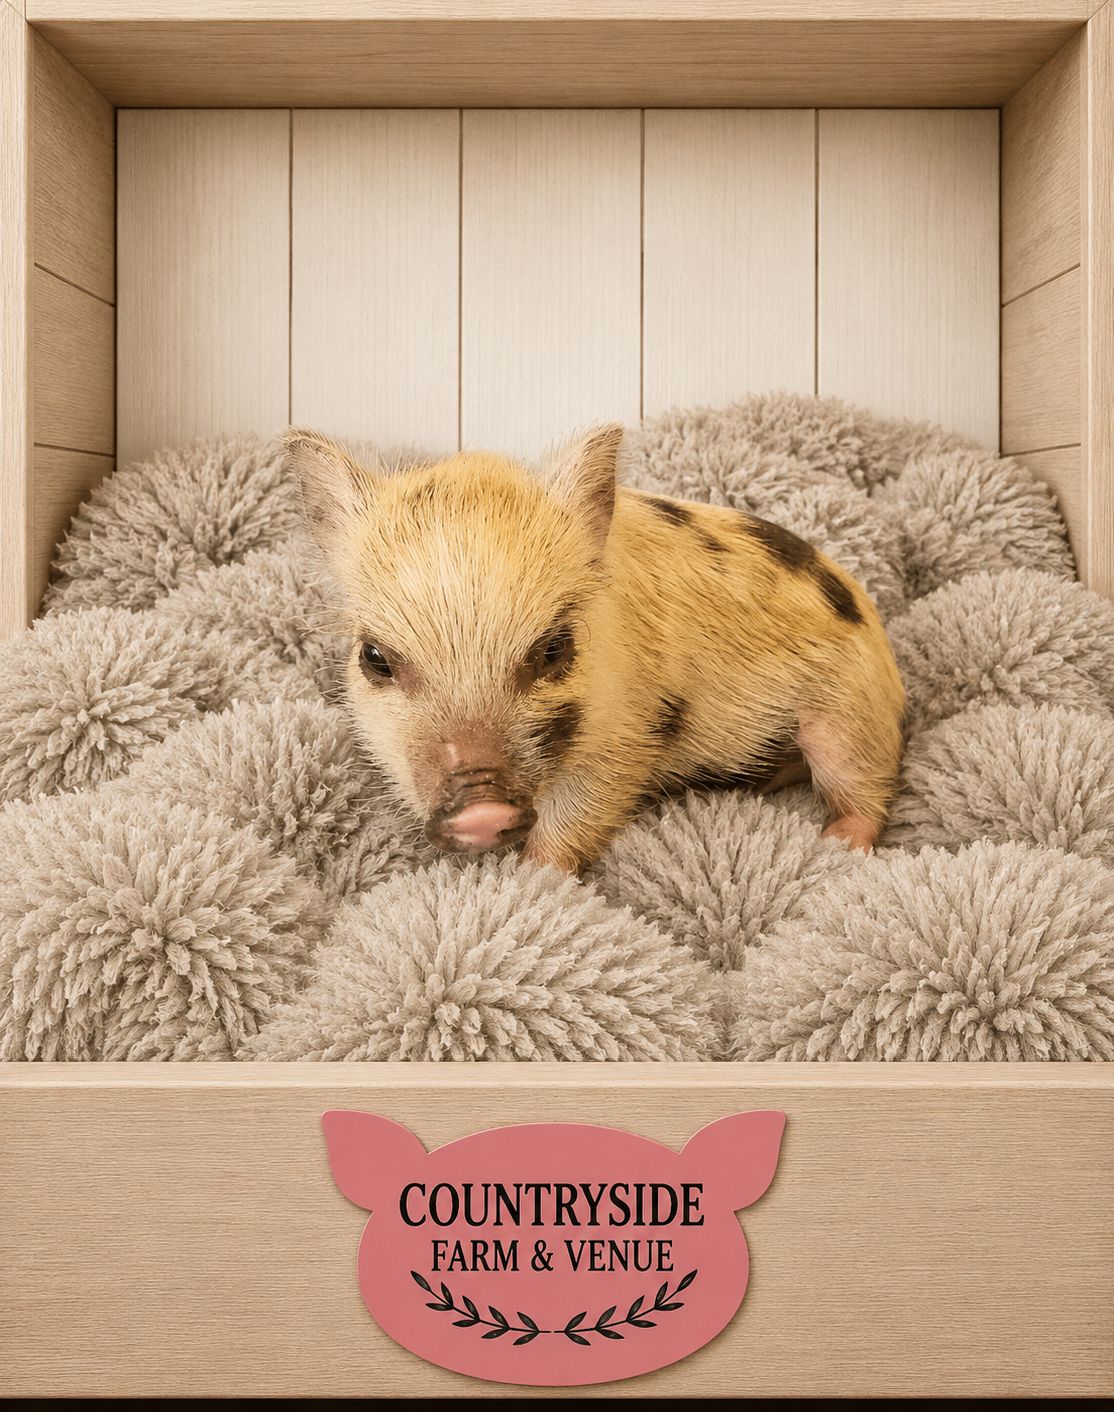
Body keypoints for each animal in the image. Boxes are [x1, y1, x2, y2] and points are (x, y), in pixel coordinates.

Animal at [285, 426, 905, 873]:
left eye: (555, 649)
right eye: (375, 658)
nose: (481, 807)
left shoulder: (628, 734)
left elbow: (578, 815)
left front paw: (532, 876)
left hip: (848, 712)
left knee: (869, 785)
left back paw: (839, 845)